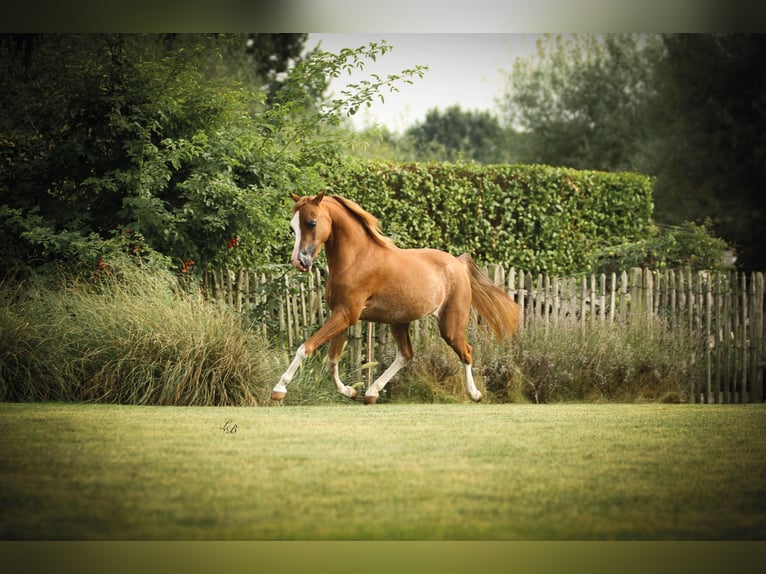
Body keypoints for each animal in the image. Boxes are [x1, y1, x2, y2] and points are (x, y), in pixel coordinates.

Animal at [272, 194, 520, 404]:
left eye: (312, 222)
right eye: (292, 227)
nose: (299, 262)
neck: (357, 258)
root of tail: (458, 263)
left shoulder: (346, 315)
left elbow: (305, 348)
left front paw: (279, 389)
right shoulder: (341, 314)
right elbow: (332, 360)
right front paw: (350, 392)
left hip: (450, 325)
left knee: (466, 351)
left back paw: (475, 394)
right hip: (399, 321)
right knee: (406, 354)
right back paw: (371, 392)